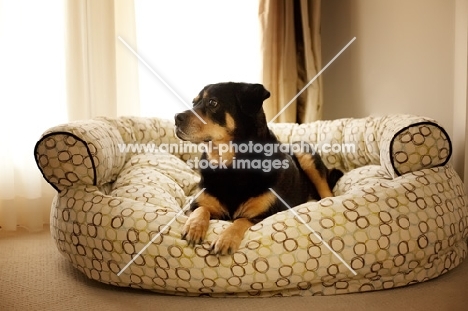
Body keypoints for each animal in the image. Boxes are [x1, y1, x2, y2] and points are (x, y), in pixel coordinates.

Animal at [174, 82, 342, 256]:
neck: (231, 164)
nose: (176, 118)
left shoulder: (265, 215)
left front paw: (226, 239)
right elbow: (200, 210)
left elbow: (240, 220)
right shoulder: (194, 206)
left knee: (327, 192)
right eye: (194, 103)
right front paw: (193, 228)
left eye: (213, 102)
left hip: (304, 152)